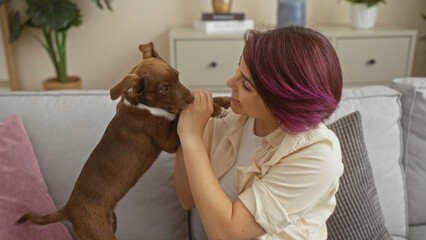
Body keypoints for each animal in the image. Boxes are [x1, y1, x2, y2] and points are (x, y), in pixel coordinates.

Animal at [17, 42, 230, 239]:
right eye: (164, 89)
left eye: (178, 76)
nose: (190, 99)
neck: (143, 105)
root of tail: (68, 208)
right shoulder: (168, 141)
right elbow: (180, 118)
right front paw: (215, 109)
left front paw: (223, 100)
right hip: (99, 232)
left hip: (112, 222)